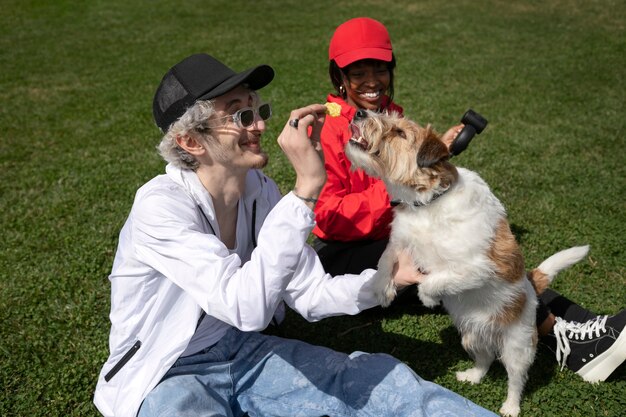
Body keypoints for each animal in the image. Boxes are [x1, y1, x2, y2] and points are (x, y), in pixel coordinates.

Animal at [344, 109, 588, 416]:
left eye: (400, 133)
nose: (360, 112)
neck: (427, 203)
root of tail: (533, 286)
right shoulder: (399, 241)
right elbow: (385, 260)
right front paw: (381, 290)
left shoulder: (477, 268)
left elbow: (437, 279)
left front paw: (428, 297)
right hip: (471, 336)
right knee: (485, 360)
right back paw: (471, 376)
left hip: (517, 347)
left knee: (516, 379)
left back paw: (510, 406)